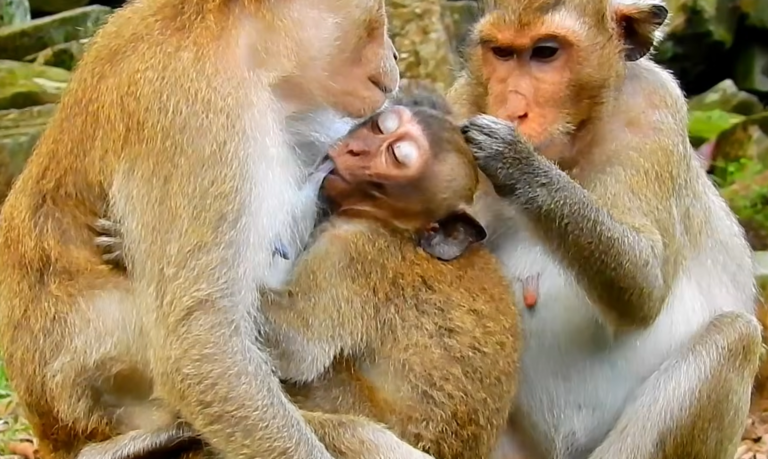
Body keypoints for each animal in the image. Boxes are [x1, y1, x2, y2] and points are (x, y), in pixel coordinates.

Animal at [0, 0, 441, 458]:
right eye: (376, 15)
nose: (395, 55)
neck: (245, 46)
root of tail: (54, 433)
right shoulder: (197, 115)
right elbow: (200, 343)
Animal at [87, 93, 523, 459]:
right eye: (381, 127)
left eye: (395, 158)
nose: (353, 148)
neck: (397, 227)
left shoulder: (354, 255)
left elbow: (296, 348)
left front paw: (134, 250)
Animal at [446, 1, 764, 458]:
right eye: (502, 53)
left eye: (545, 52)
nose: (512, 110)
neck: (572, 144)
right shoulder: (463, 100)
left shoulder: (655, 107)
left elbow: (644, 287)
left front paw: (518, 164)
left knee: (735, 337)